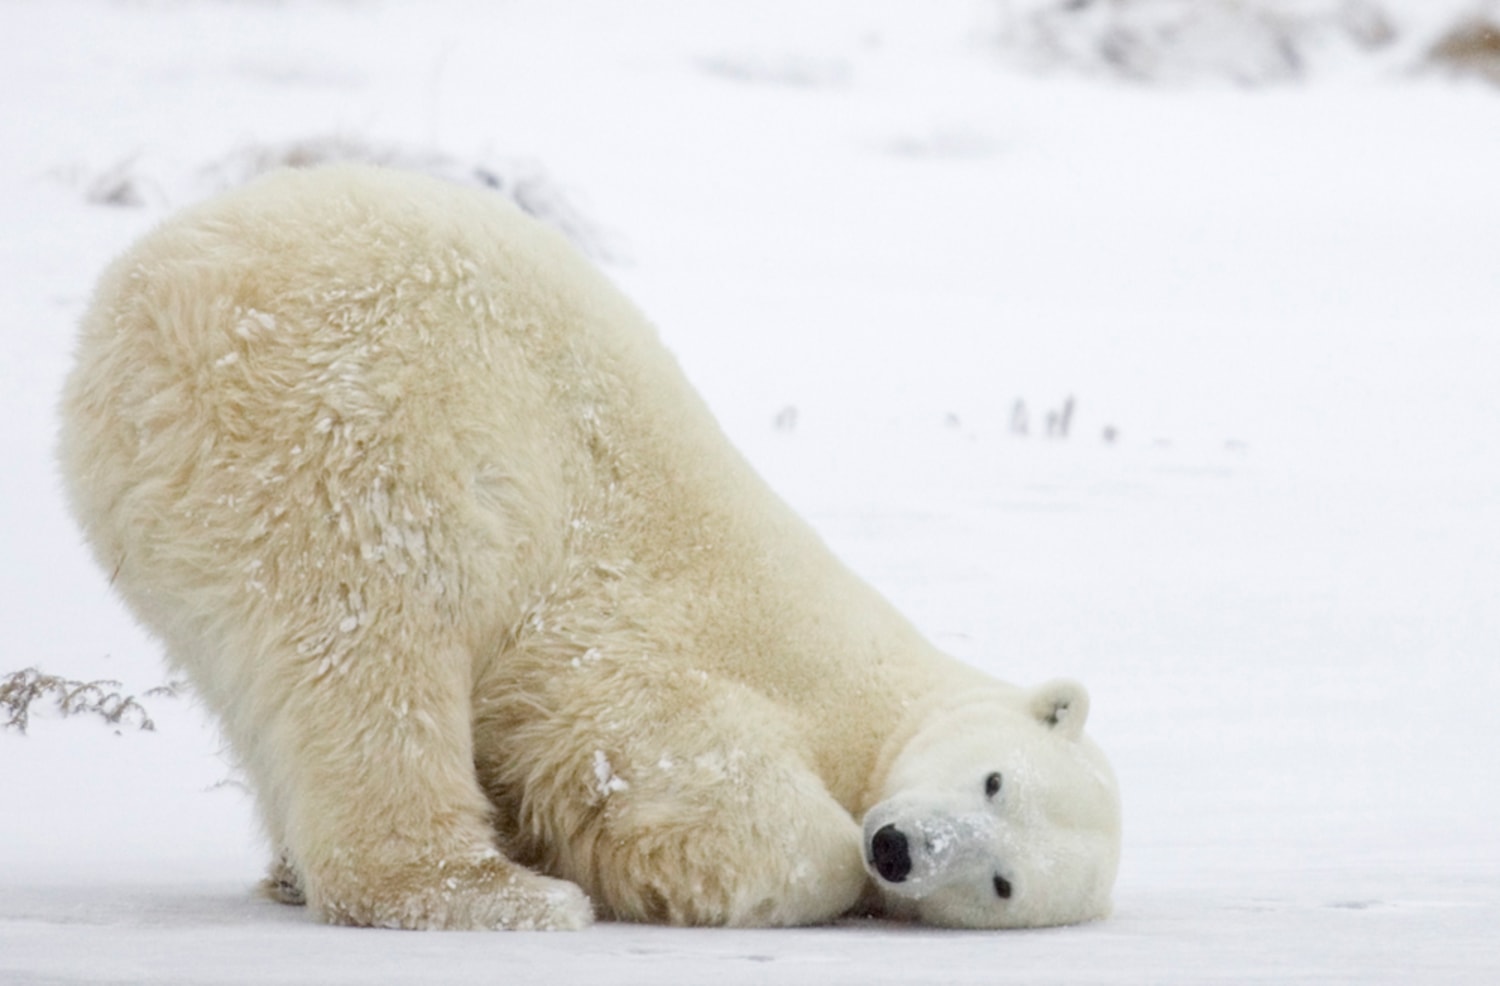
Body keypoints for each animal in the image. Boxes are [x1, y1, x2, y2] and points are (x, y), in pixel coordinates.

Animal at [55, 165, 1116, 924]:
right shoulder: (688, 646)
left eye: (1003, 881)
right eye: (993, 779)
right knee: (380, 647)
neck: (874, 706)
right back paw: (488, 893)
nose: (898, 850)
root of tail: (141, 307)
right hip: (350, 430)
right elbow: (697, 776)